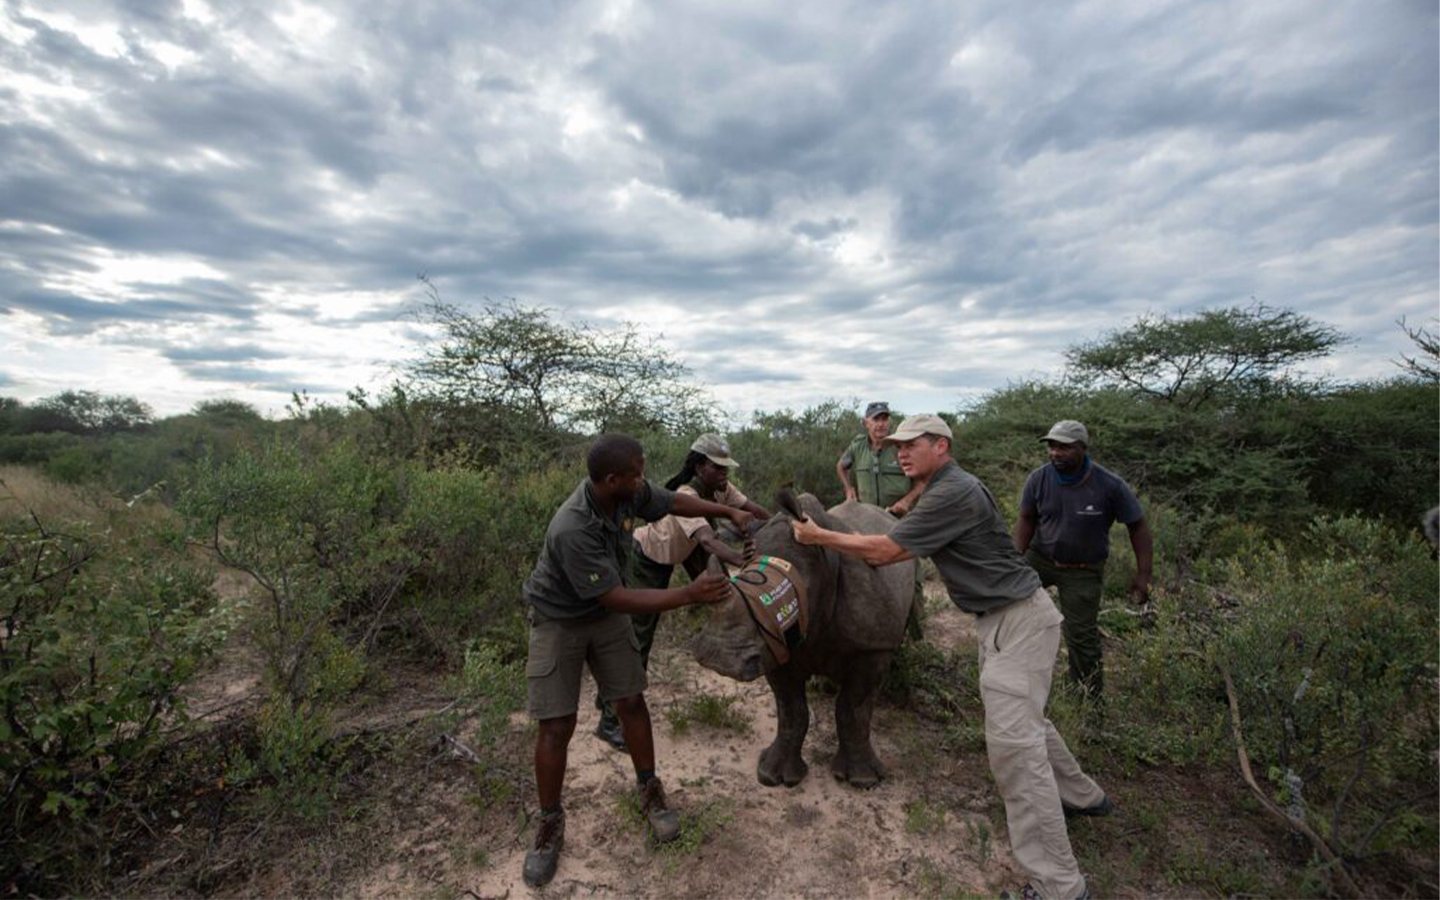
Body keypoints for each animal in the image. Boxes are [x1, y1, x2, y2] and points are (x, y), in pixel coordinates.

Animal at [691, 492, 915, 783]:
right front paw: (773, 775)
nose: (718, 659)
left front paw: (862, 780)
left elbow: (853, 710)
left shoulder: (872, 647)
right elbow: (791, 710)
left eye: (790, 591)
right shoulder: (774, 644)